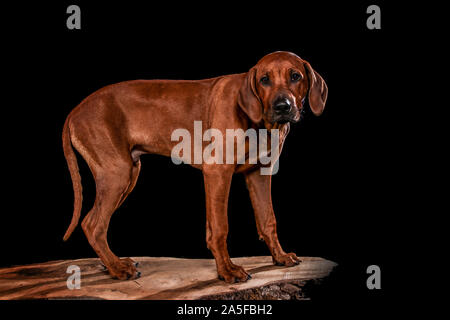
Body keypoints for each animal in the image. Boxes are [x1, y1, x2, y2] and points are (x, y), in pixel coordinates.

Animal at [61, 51, 326, 284]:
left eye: (295, 76)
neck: (258, 120)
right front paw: (227, 271)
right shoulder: (217, 172)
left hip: (128, 173)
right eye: (264, 79)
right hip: (117, 173)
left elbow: (268, 220)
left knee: (94, 224)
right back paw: (117, 268)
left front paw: (279, 257)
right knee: (93, 225)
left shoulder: (260, 173)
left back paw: (113, 264)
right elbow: (219, 227)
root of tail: (74, 111)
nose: (283, 107)